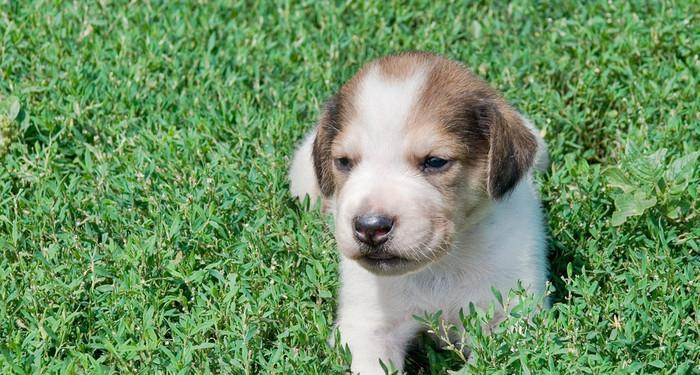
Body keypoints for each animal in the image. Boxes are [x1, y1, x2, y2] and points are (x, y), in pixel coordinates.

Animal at [288, 53, 548, 375]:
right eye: (344, 162)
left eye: (435, 161)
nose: (370, 227)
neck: (440, 267)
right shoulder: (367, 326)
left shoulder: (509, 317)